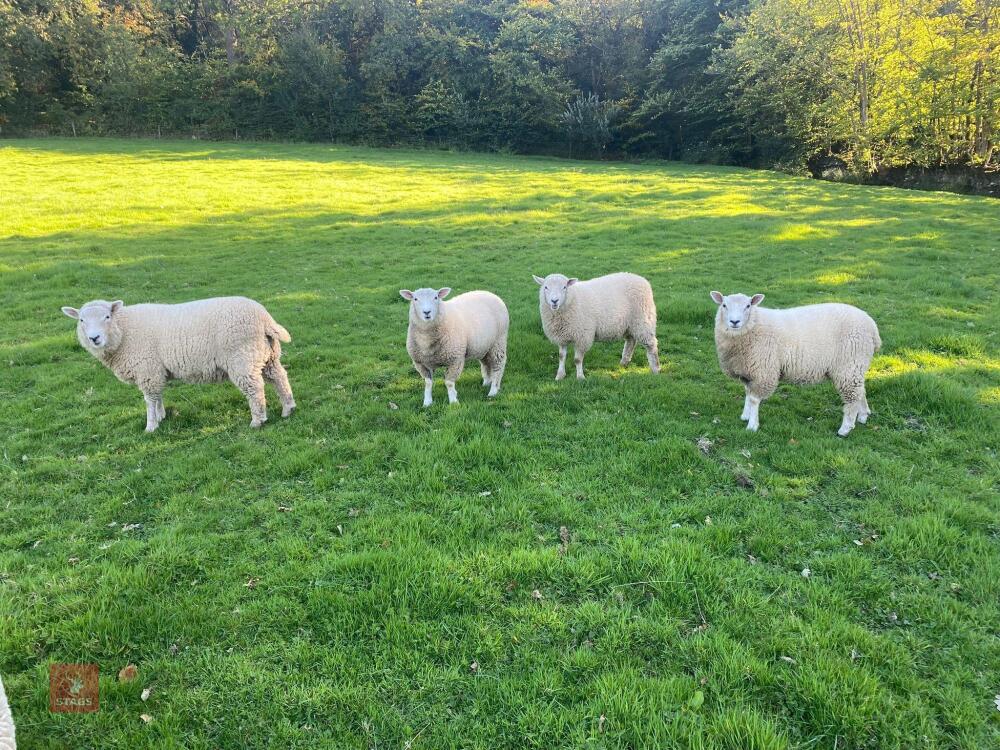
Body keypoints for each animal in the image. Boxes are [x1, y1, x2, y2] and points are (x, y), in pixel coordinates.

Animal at [61, 297, 295, 432]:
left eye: (107, 316)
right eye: (81, 320)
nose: (94, 338)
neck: (124, 331)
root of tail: (264, 318)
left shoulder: (147, 369)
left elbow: (149, 400)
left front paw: (151, 426)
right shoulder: (155, 371)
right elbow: (157, 396)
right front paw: (162, 416)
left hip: (242, 357)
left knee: (255, 389)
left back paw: (258, 421)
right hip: (267, 354)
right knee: (279, 377)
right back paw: (288, 408)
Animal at [709, 291, 881, 436]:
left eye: (748, 306)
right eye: (724, 305)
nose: (734, 321)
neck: (754, 325)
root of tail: (872, 327)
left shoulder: (764, 372)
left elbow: (754, 400)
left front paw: (752, 425)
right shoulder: (748, 372)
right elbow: (747, 393)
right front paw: (745, 415)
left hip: (849, 364)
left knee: (852, 398)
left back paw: (845, 429)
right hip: (855, 366)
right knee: (860, 391)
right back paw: (863, 416)